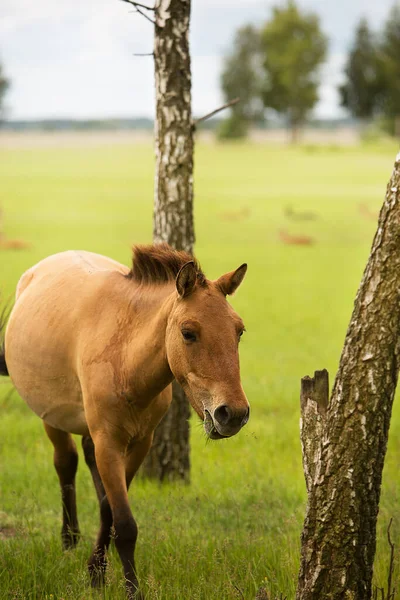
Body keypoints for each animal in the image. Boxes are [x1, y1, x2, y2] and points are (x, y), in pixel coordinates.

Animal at [0, 243, 250, 596]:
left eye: (238, 331)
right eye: (188, 333)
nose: (233, 414)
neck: (124, 356)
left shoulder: (139, 443)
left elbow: (109, 508)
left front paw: (97, 571)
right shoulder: (109, 443)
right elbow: (126, 524)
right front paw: (130, 589)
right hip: (53, 417)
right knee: (65, 463)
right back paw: (69, 538)